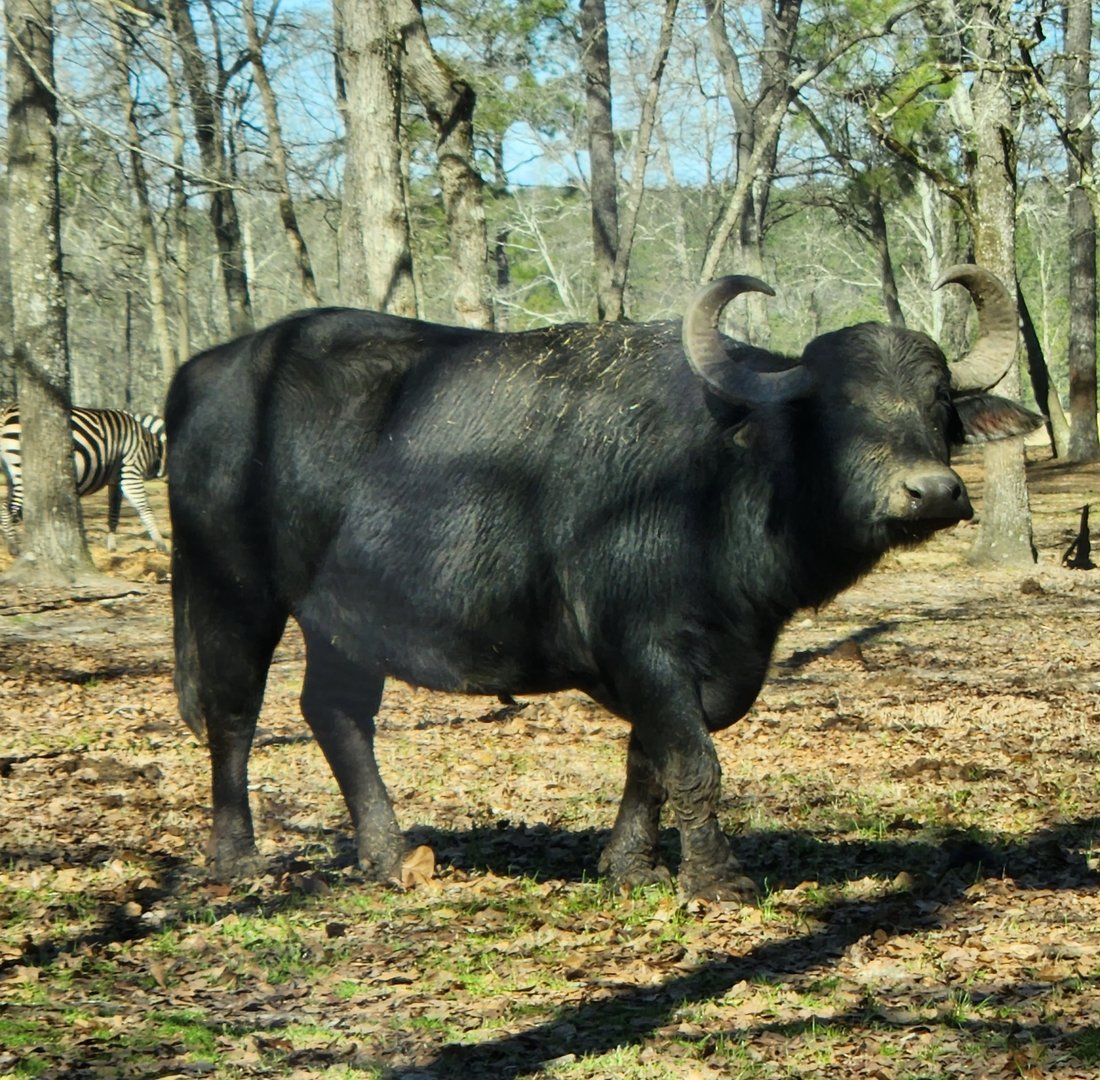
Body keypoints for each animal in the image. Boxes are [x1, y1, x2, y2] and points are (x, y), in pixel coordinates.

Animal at [166, 267, 1041, 901]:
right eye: (839, 406)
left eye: (937, 403)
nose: (933, 492)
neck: (721, 479)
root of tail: (206, 369)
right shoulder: (644, 643)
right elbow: (692, 761)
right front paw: (714, 880)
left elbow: (648, 760)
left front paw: (629, 864)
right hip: (231, 590)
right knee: (234, 714)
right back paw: (237, 859)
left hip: (341, 621)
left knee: (336, 713)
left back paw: (388, 855)